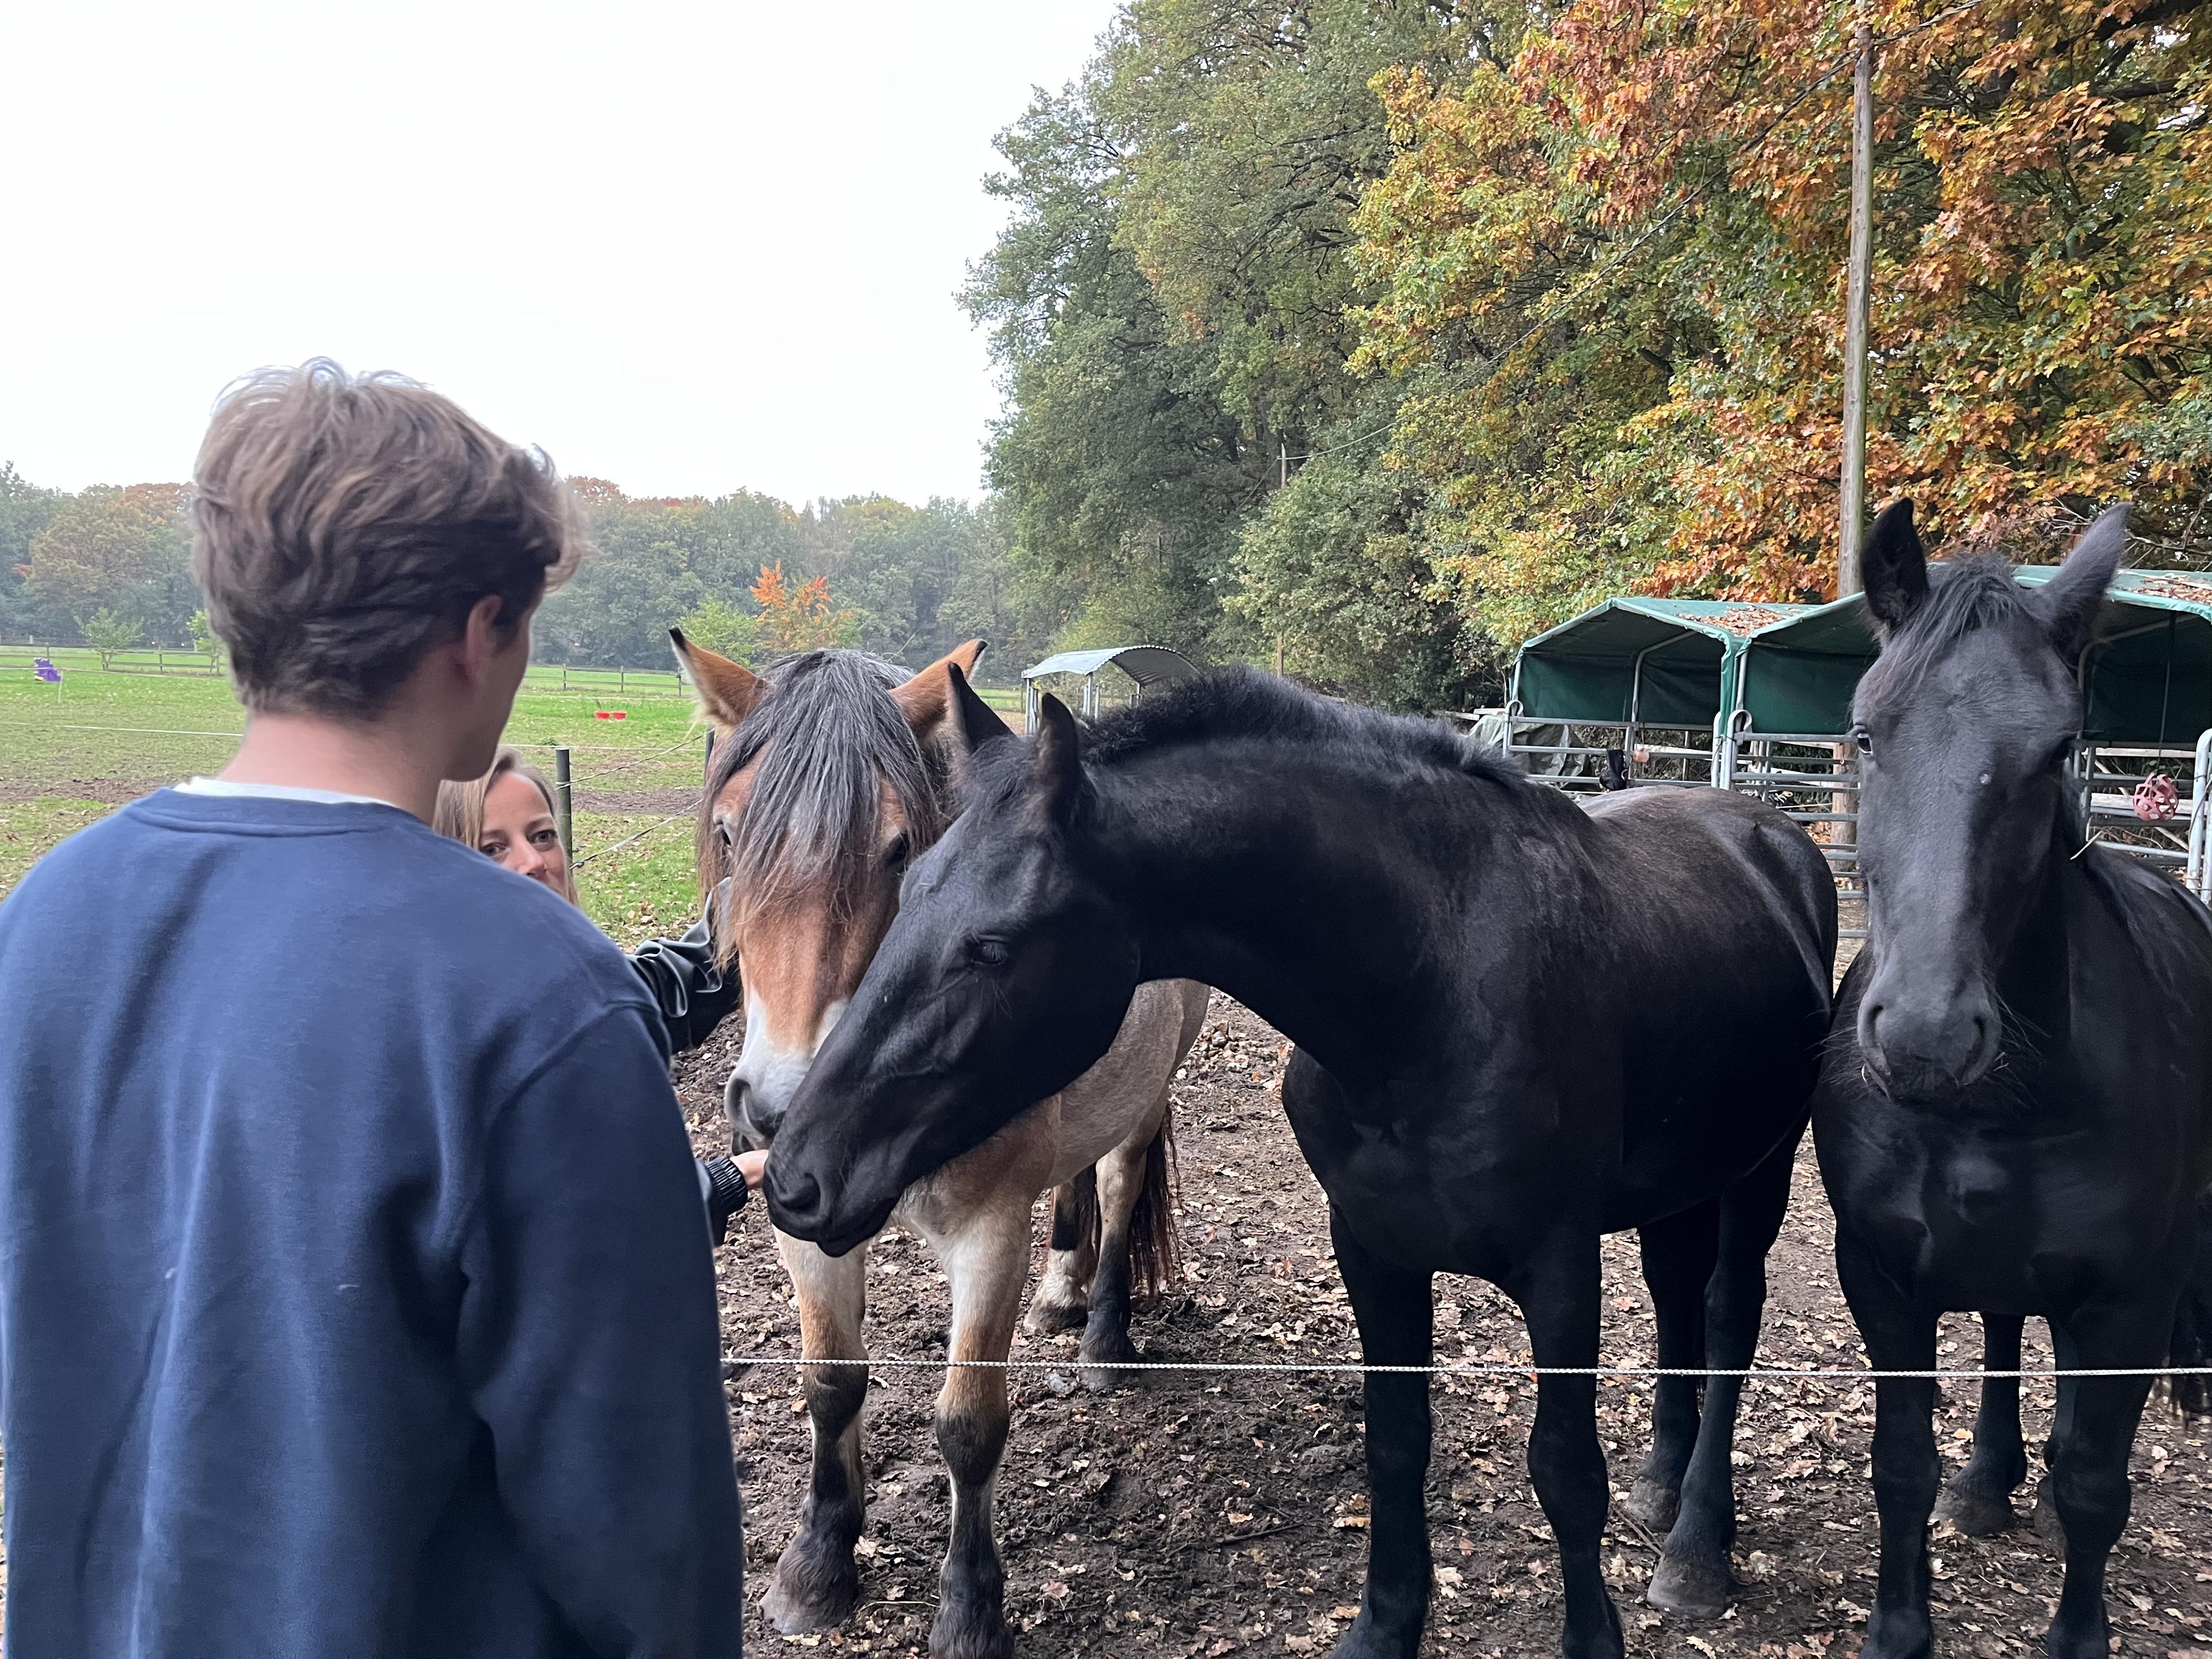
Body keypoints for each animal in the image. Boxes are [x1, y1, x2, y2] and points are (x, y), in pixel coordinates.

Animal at [670, 633, 1208, 1659]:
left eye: (897, 848)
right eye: (727, 834)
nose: (782, 1110)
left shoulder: (988, 1236)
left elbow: (968, 1426)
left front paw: (968, 1607)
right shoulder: (801, 1228)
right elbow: (830, 1381)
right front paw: (817, 1564)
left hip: (1151, 1091)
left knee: (1119, 1186)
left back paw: (1104, 1335)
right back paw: (1061, 1296)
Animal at [760, 669, 1838, 1659]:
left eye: (991, 946)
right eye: (907, 891)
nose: (796, 1175)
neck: (1430, 990)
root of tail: (1769, 834)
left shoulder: (1560, 1267)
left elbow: (1566, 1473)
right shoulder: (1373, 1250)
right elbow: (1396, 1443)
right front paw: (1384, 1629)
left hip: (1761, 1173)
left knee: (1728, 1320)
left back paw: (1697, 1546)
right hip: (1678, 1187)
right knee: (1676, 1299)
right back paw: (1663, 1486)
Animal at [1811, 501, 2212, 1659]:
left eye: (2059, 749)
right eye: (1867, 735)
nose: (1928, 1035)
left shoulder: (2130, 1300)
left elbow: (2095, 1488)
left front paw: (2080, 1637)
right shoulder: (1883, 1279)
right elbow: (1902, 1467)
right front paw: (1900, 1627)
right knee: (2001, 1334)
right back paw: (1989, 1482)